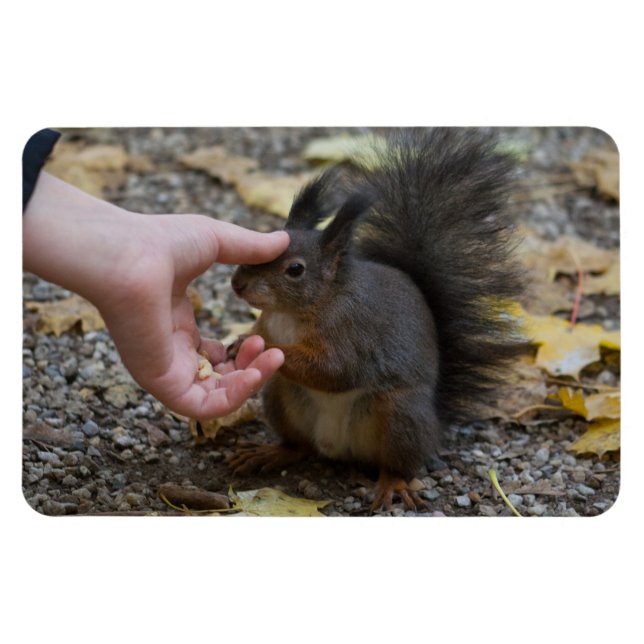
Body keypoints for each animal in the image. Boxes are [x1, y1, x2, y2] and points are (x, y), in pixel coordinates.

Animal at [226, 128, 524, 512]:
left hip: (399, 415)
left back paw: (391, 485)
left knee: (397, 464)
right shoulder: (268, 320)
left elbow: (335, 370)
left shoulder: (352, 333)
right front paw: (238, 341)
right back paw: (270, 453)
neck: (293, 313)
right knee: (299, 446)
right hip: (282, 396)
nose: (238, 284)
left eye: (295, 270)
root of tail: (337, 449)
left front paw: (265, 347)